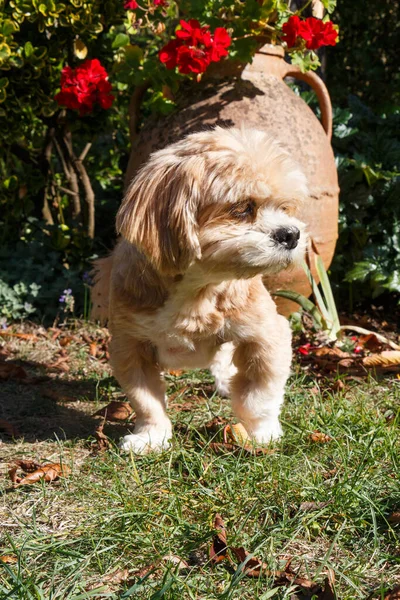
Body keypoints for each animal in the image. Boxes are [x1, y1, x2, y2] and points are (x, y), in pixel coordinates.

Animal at [92, 127, 308, 454]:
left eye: (285, 207)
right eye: (243, 208)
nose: (291, 233)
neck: (198, 291)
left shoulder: (268, 335)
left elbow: (259, 394)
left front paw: (261, 433)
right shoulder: (130, 345)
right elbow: (146, 400)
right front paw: (151, 437)